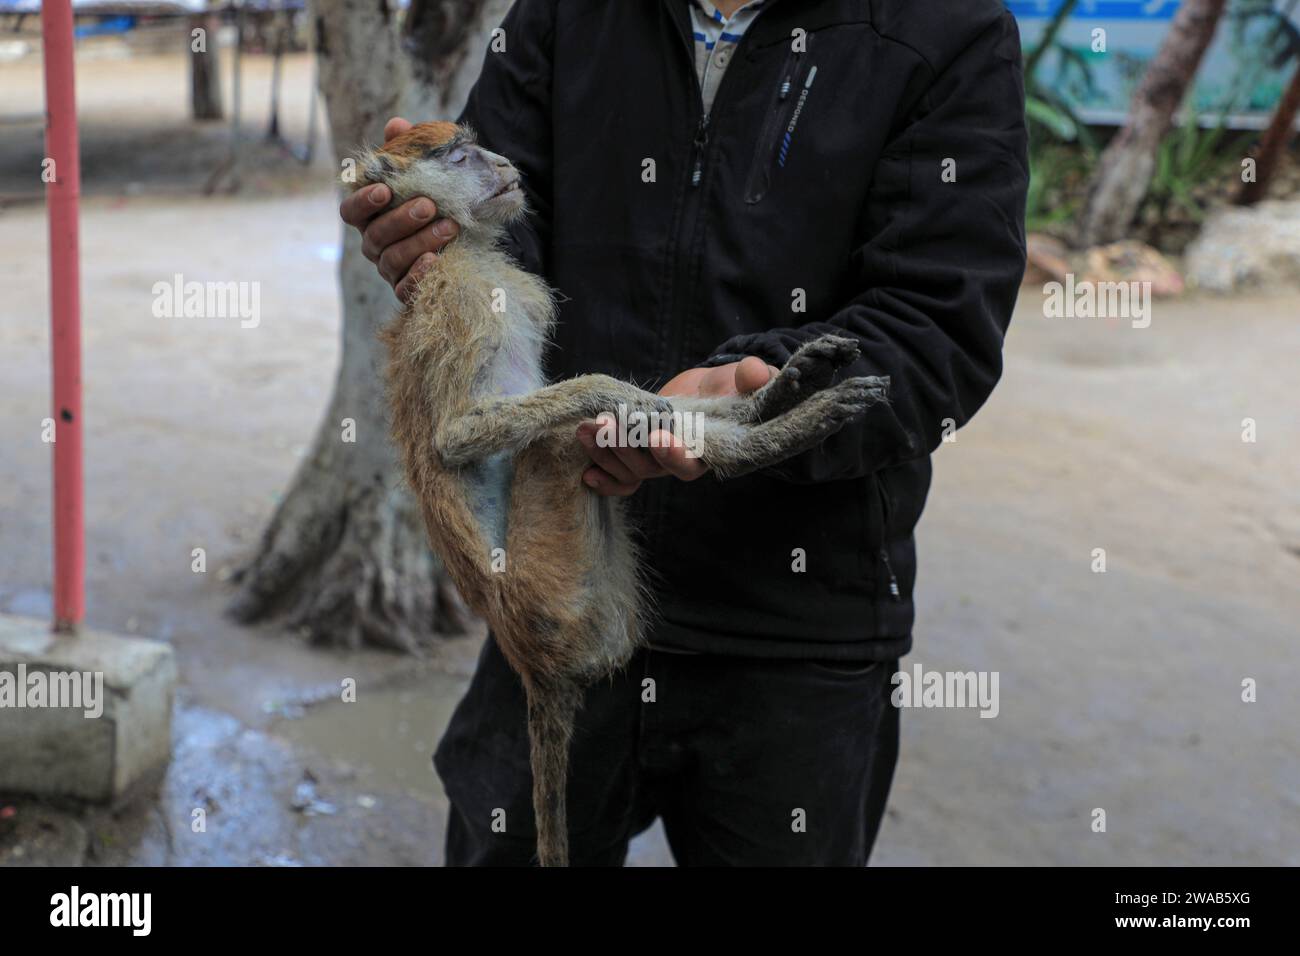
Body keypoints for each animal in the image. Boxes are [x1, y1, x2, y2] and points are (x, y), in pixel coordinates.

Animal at [348, 121, 889, 866]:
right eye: (458, 156)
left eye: (475, 146)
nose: (505, 165)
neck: (463, 247)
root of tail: (532, 658)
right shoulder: (460, 311)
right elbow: (460, 437)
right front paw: (616, 395)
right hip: (558, 576)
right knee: (556, 443)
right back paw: (777, 433)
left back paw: (774, 399)